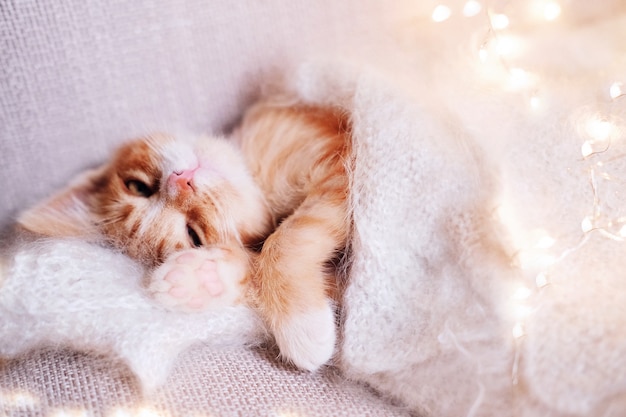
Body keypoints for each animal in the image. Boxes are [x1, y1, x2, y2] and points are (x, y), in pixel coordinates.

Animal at [18, 101, 352, 370]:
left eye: (138, 187)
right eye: (195, 238)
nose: (181, 181)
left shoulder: (343, 162)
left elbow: (290, 236)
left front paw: (302, 327)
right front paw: (200, 277)